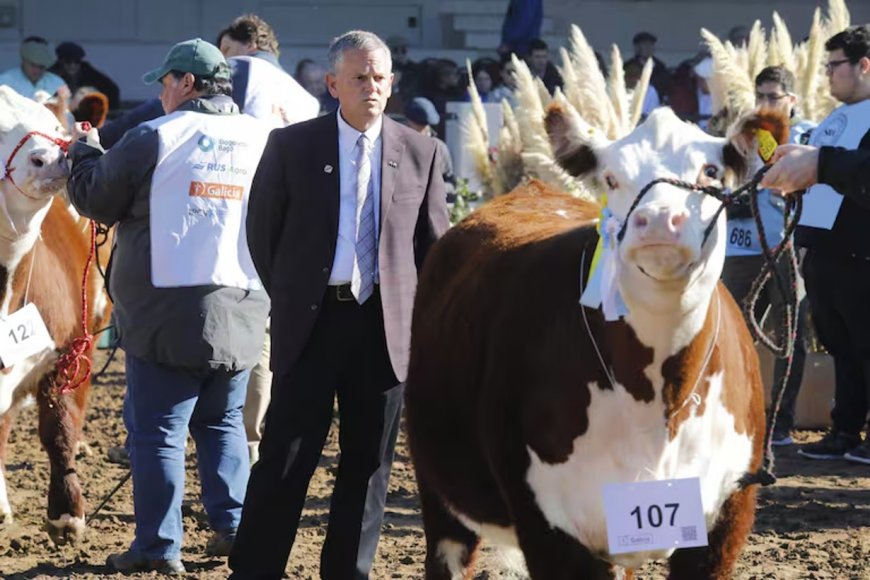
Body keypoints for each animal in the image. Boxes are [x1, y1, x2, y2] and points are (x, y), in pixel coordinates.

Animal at [406, 106, 788, 576]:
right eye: (611, 177)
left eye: (711, 170)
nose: (658, 220)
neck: (658, 400)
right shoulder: (549, 526)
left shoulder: (728, 516)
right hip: (439, 488)